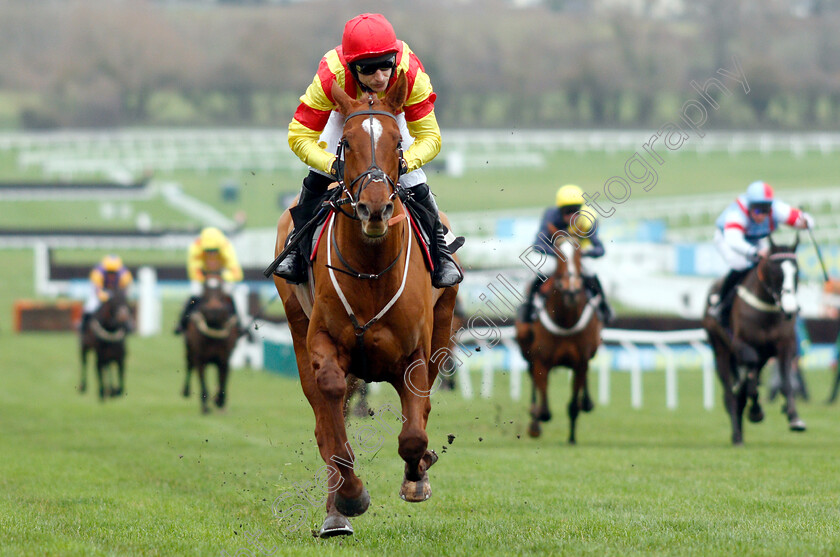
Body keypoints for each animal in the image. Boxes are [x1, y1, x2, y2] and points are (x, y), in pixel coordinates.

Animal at [182, 274, 238, 412]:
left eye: (221, 292)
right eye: (205, 291)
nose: (214, 312)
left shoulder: (224, 358)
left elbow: (223, 379)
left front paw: (220, 400)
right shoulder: (200, 358)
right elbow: (203, 381)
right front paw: (205, 406)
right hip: (189, 350)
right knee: (189, 365)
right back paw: (185, 391)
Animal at [274, 71, 460, 536]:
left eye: (396, 143)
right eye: (346, 143)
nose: (374, 208)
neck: (372, 271)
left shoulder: (415, 353)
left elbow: (414, 432)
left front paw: (417, 477)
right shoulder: (323, 342)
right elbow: (332, 415)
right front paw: (351, 496)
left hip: (444, 324)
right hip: (296, 327)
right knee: (325, 419)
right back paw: (336, 512)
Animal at [512, 237, 604, 440]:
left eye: (579, 254)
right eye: (557, 252)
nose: (571, 291)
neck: (566, 321)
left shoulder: (580, 363)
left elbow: (573, 406)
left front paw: (572, 438)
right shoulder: (541, 360)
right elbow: (545, 410)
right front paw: (536, 421)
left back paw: (587, 402)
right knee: (533, 382)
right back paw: (534, 420)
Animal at [704, 237, 808, 446]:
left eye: (796, 271)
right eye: (775, 272)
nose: (791, 308)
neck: (766, 309)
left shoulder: (785, 345)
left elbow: (786, 381)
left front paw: (794, 418)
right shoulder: (741, 345)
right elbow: (750, 383)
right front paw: (756, 412)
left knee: (744, 387)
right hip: (720, 350)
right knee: (730, 394)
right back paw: (737, 435)